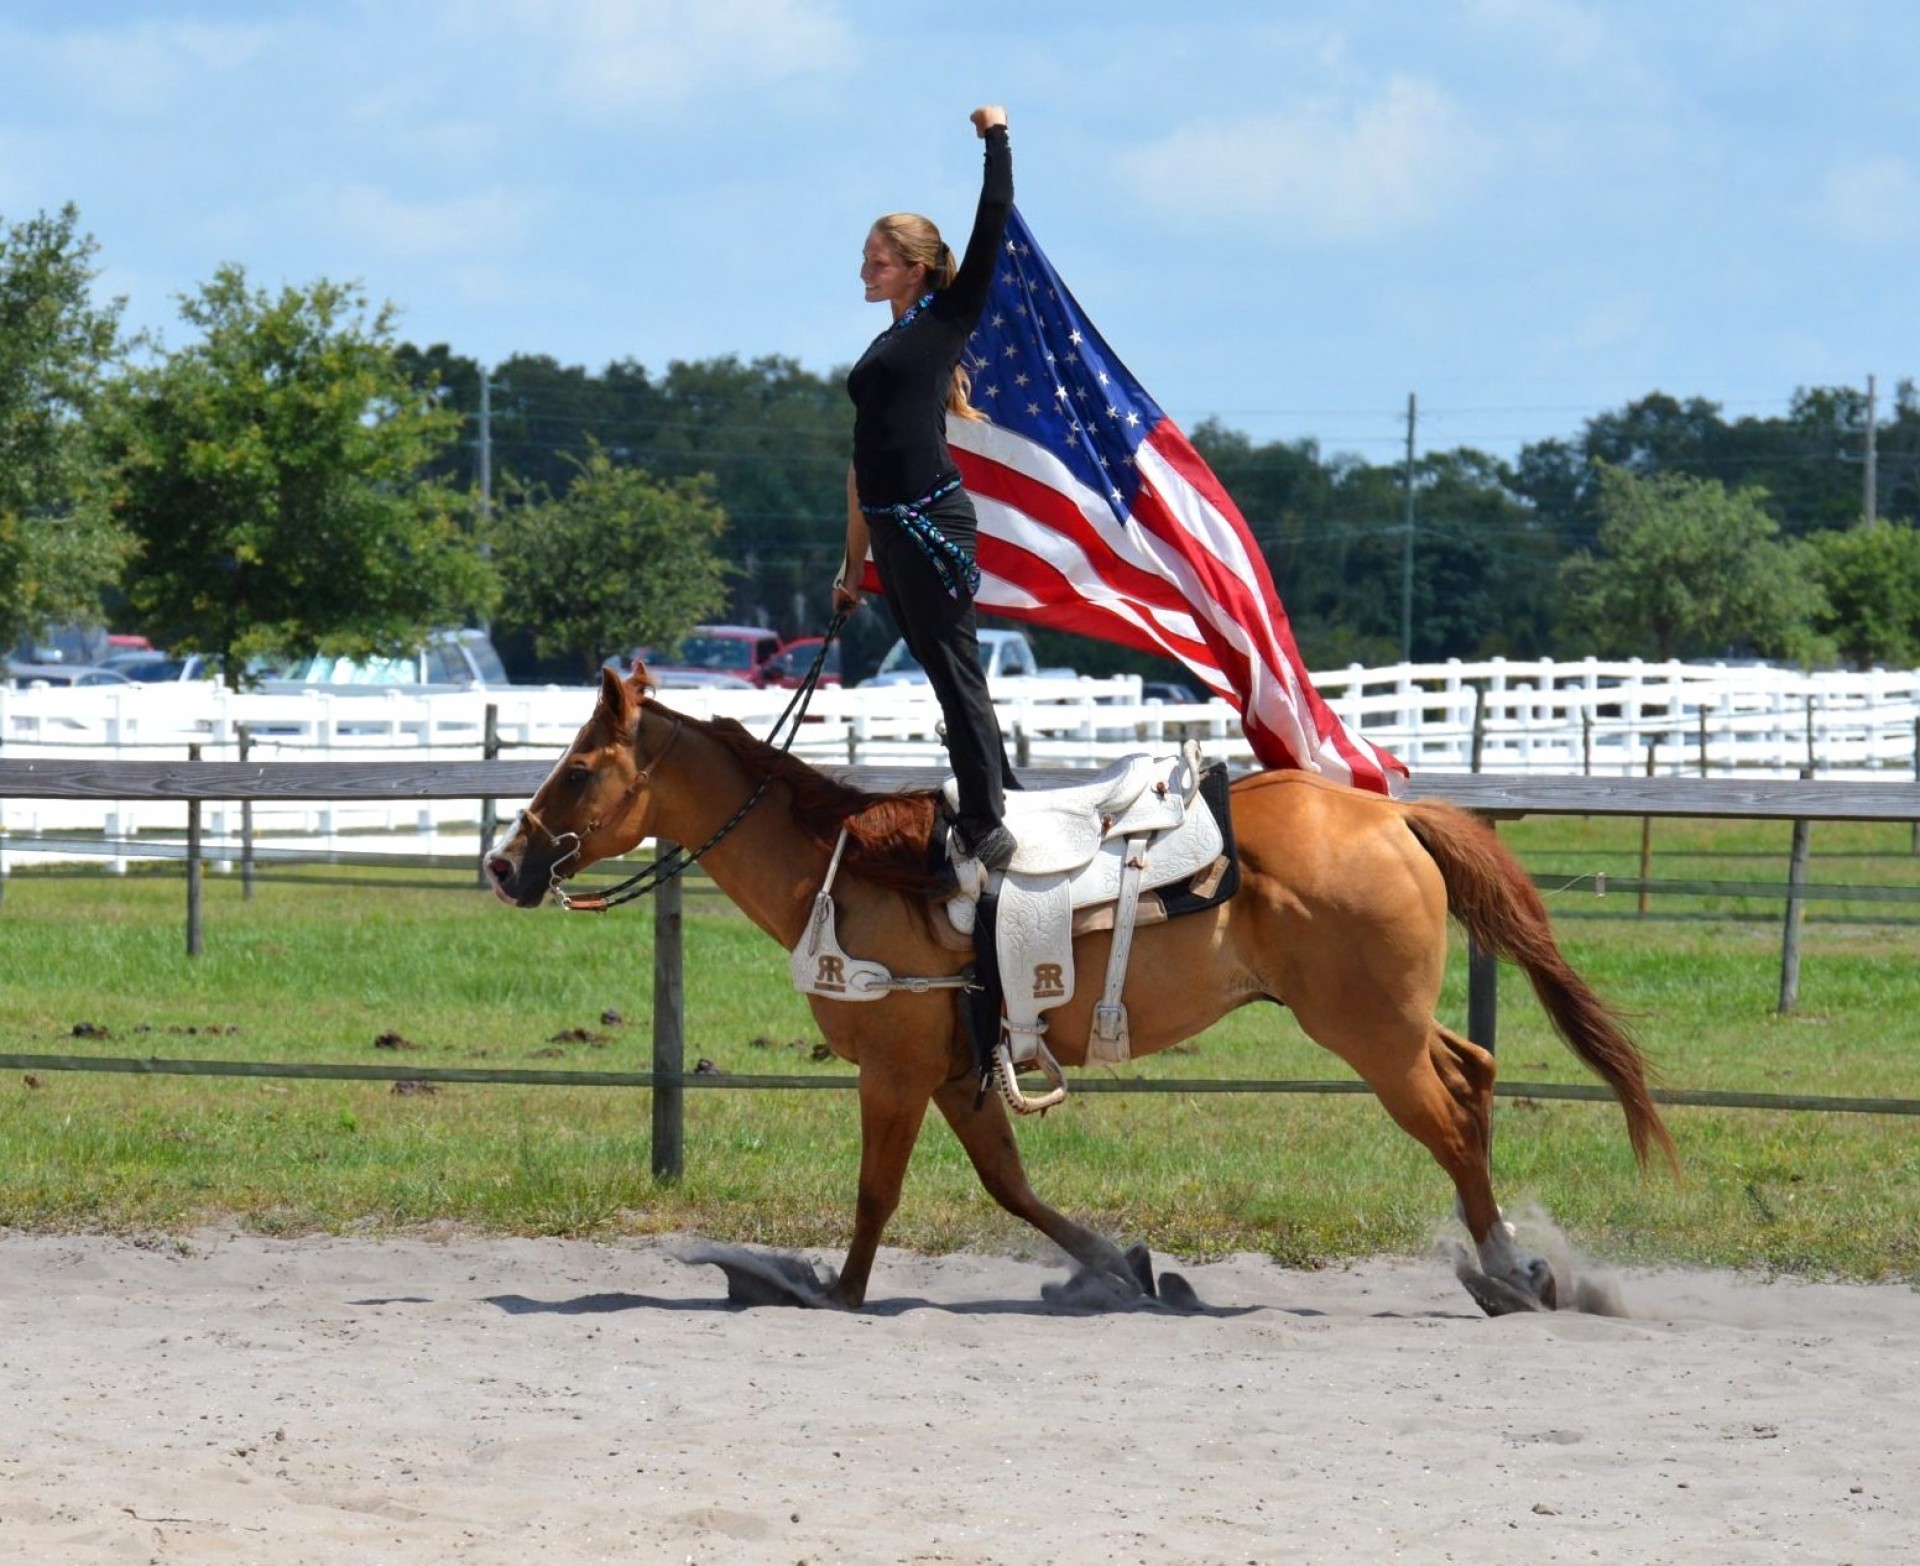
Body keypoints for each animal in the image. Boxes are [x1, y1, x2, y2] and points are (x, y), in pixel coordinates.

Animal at [487, 667, 1674, 1312]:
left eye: (581, 769)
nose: (507, 864)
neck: (847, 871)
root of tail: (1390, 815)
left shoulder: (896, 1071)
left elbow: (877, 1196)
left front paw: (831, 1289)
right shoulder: (959, 1073)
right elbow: (1013, 1187)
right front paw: (1125, 1268)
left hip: (1368, 1035)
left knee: (1450, 1119)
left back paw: (1511, 1273)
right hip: (1388, 1024)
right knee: (1473, 1075)